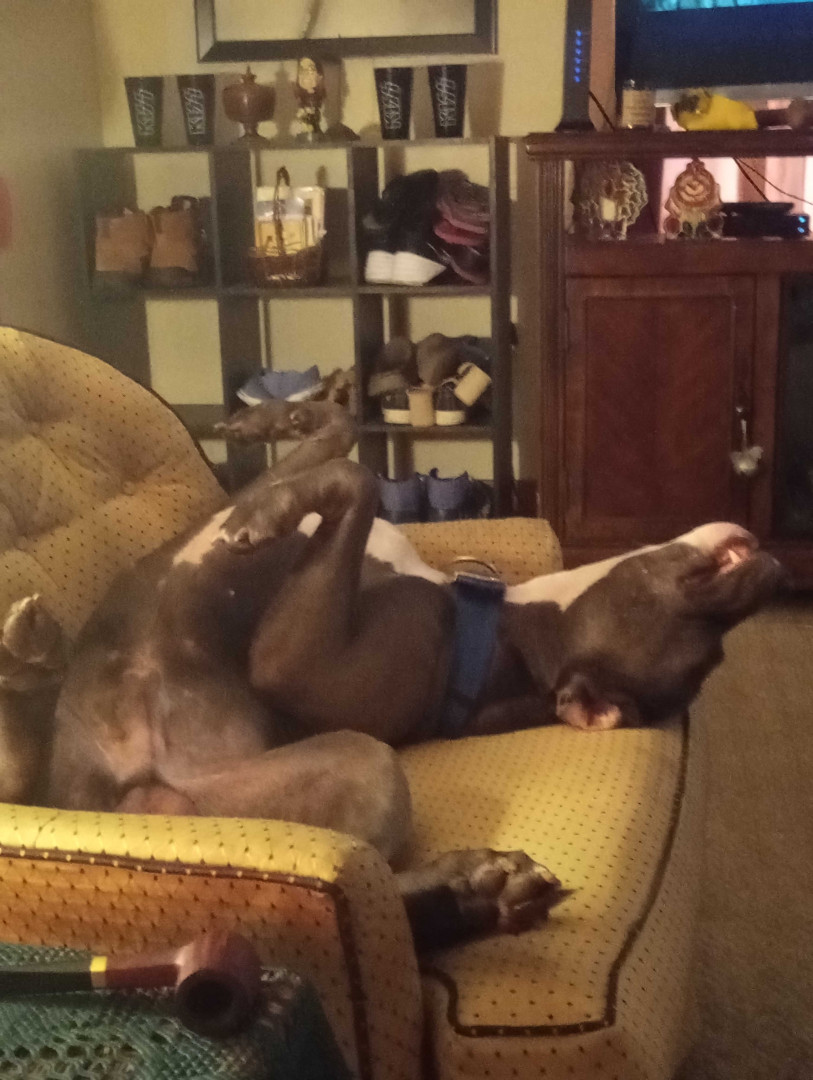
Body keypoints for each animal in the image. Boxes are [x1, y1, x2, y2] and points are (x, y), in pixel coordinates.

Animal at [0, 400, 783, 948]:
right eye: (710, 649)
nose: (769, 574)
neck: (496, 630)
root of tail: (108, 797)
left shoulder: (296, 663)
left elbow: (355, 479)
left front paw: (266, 511)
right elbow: (335, 437)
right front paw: (276, 416)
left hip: (324, 773)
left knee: (379, 876)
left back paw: (476, 894)